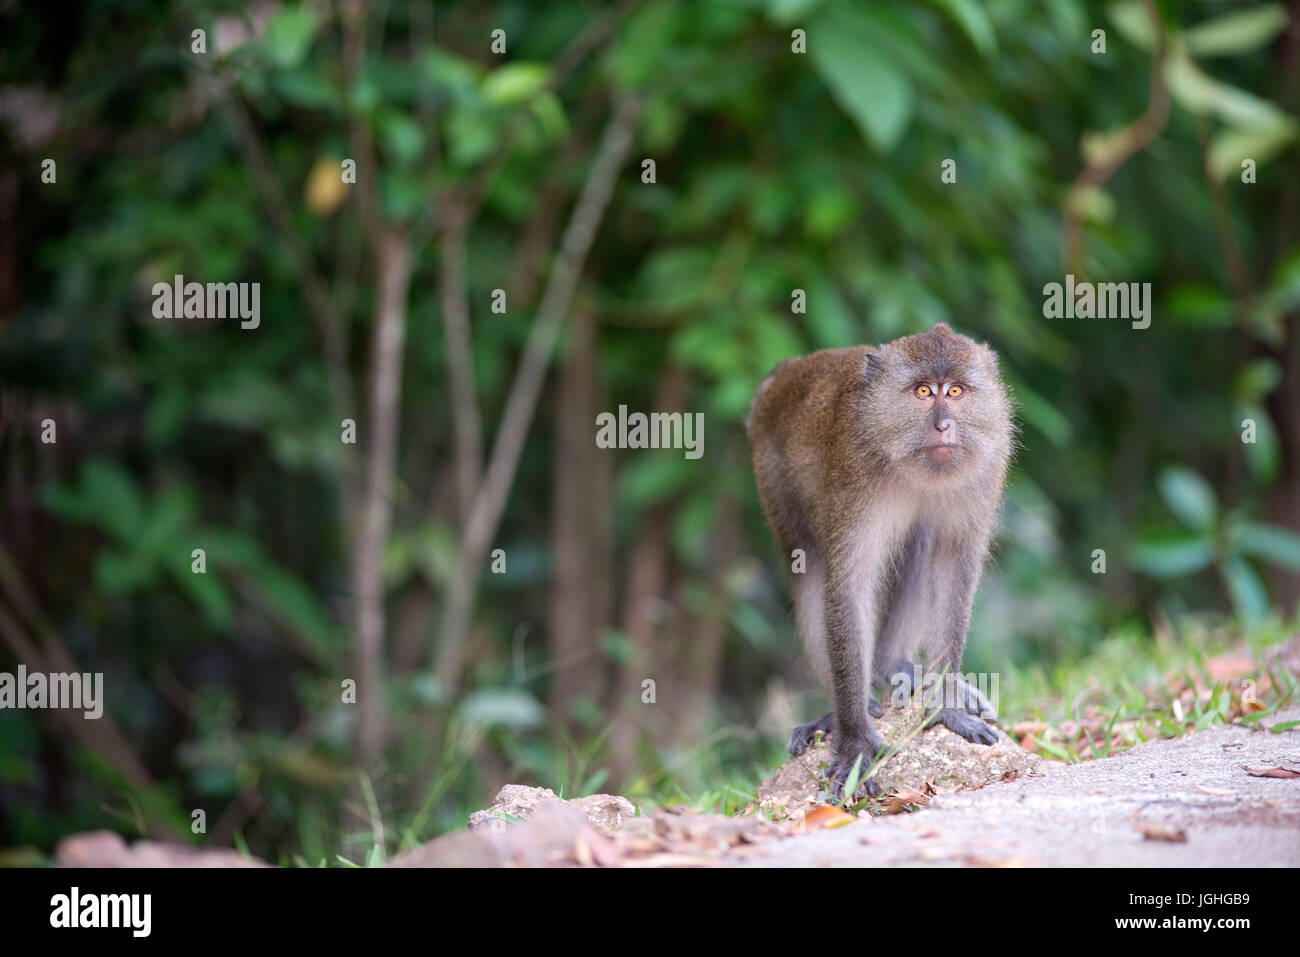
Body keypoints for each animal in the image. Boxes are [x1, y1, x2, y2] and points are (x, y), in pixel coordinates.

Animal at [747, 322, 1013, 797]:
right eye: (923, 391)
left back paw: (895, 666)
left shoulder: (986, 464)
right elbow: (848, 584)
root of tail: (783, 374)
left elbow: (953, 566)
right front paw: (855, 743)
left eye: (956, 391)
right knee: (808, 565)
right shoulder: (852, 471)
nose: (944, 425)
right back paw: (835, 712)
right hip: (771, 470)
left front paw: (947, 705)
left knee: (919, 541)